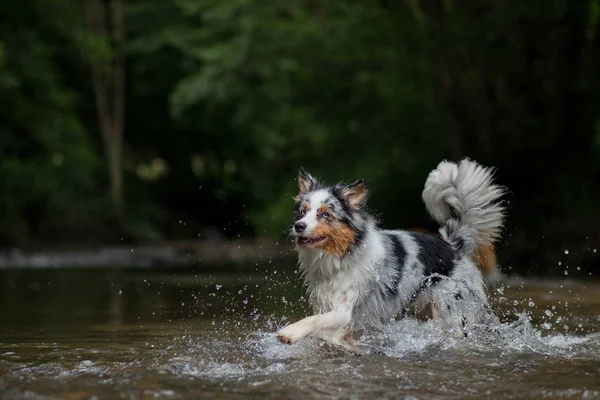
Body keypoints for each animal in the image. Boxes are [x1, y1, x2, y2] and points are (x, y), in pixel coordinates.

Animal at [278, 158, 506, 348]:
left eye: (325, 214)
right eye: (302, 212)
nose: (299, 226)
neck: (342, 257)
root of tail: (451, 243)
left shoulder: (346, 310)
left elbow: (314, 320)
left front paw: (290, 332)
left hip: (450, 308)